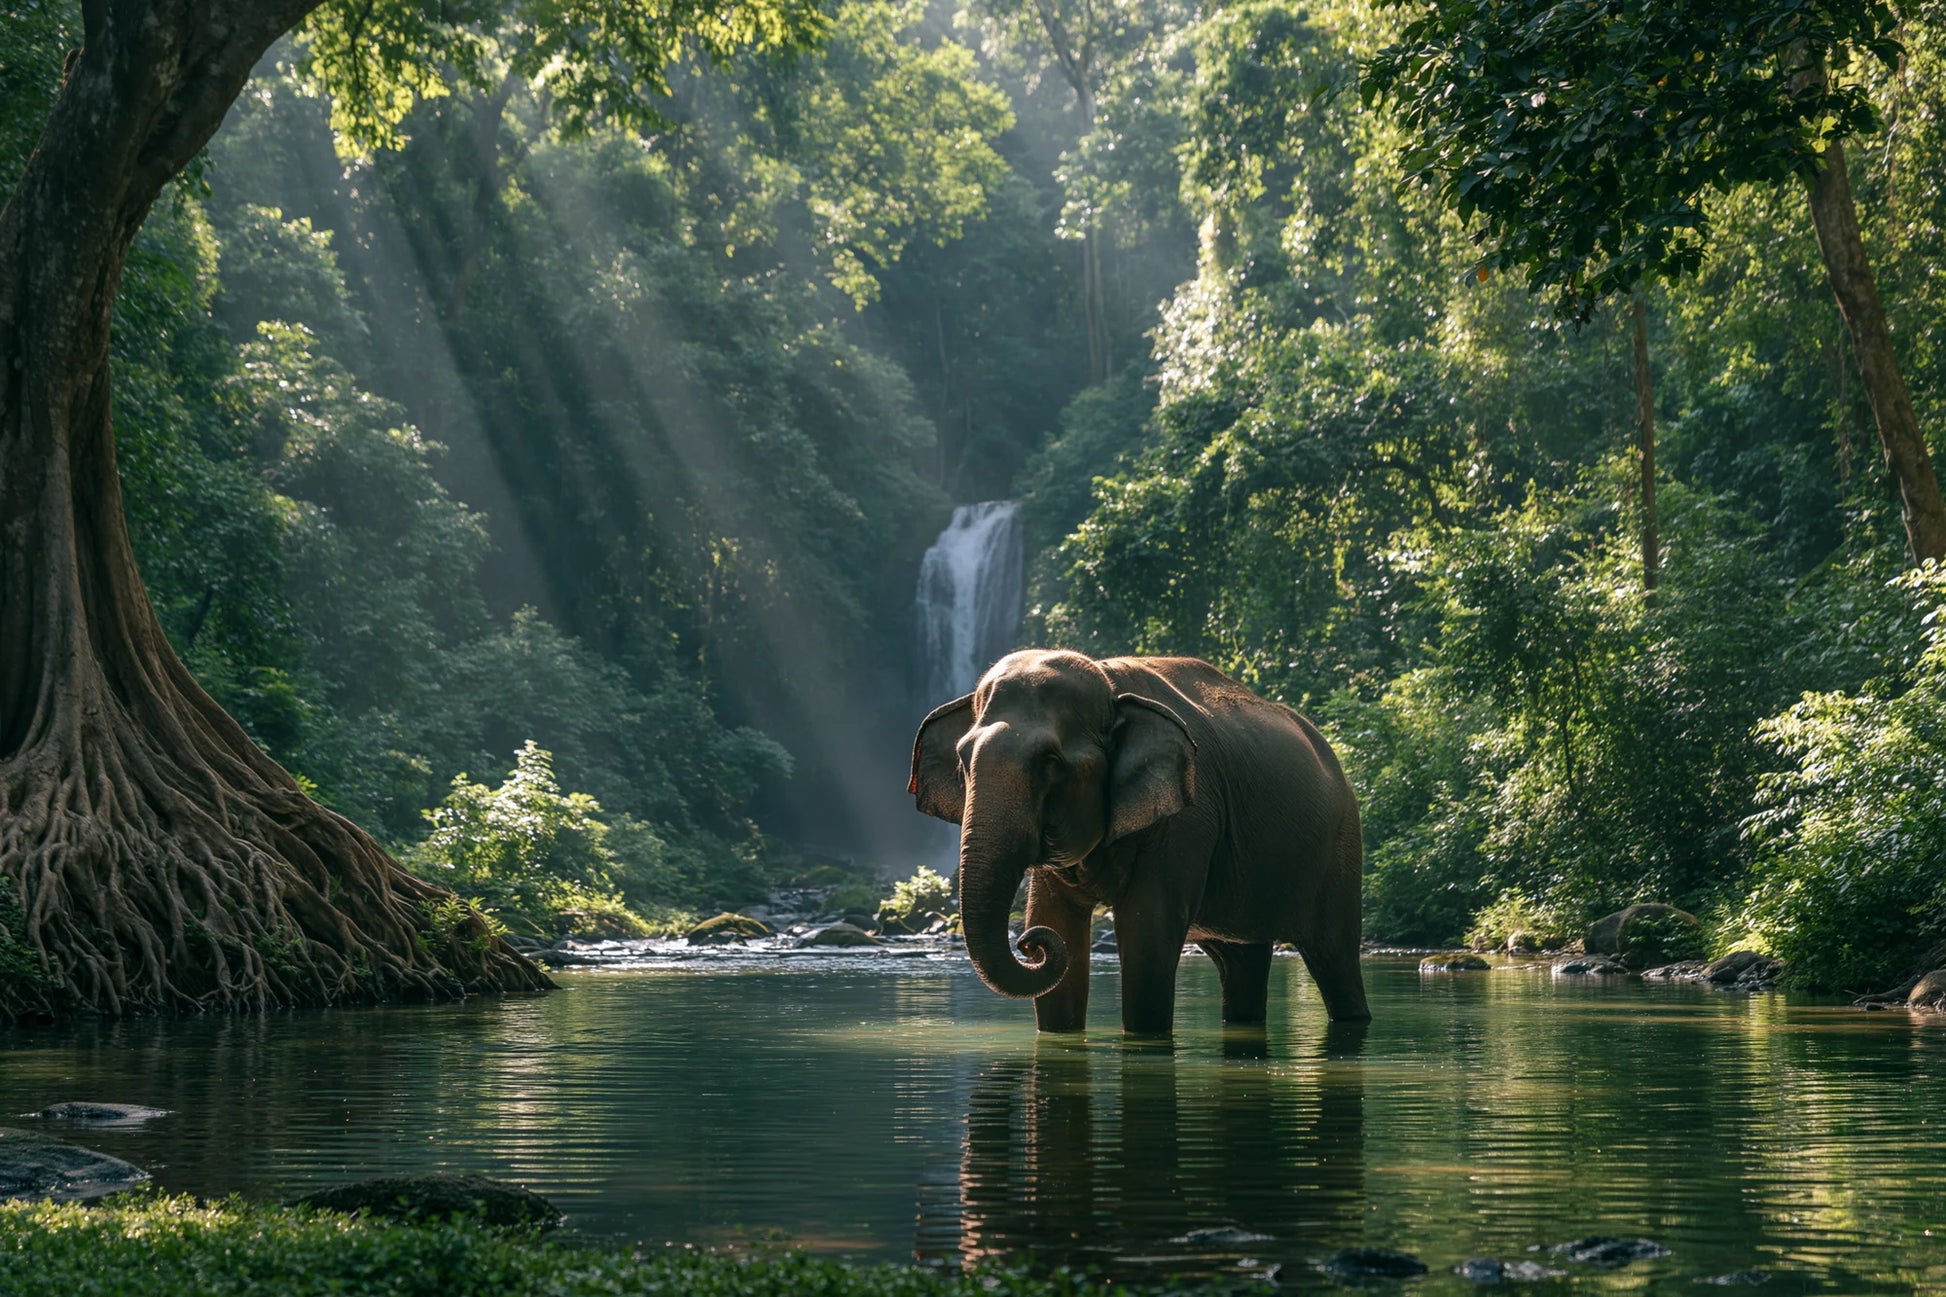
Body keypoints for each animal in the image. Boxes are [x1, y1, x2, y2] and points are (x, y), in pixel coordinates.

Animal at [909, 649, 1370, 1034]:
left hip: (1342, 847)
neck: (1109, 682)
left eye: (1050, 761)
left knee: (1335, 956)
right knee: (1242, 963)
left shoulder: (1189, 816)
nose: (1029, 943)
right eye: (962, 758)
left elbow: (1148, 931)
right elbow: (1055, 918)